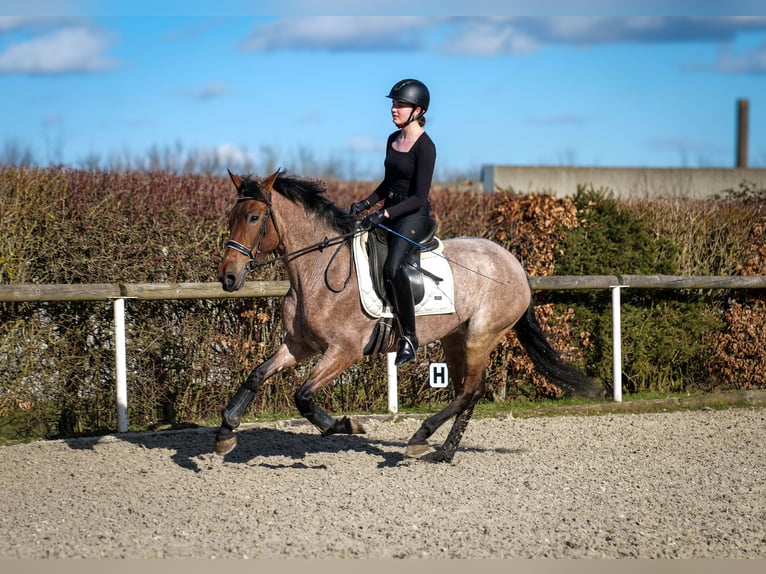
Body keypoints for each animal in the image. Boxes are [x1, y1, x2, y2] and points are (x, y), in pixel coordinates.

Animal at [213, 170, 604, 464]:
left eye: (254, 218)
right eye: (230, 218)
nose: (228, 277)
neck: (317, 270)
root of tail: (515, 264)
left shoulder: (344, 351)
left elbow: (304, 396)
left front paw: (347, 425)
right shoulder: (299, 345)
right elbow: (257, 374)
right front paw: (225, 430)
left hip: (481, 335)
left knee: (472, 390)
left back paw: (422, 438)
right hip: (455, 337)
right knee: (468, 391)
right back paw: (444, 451)